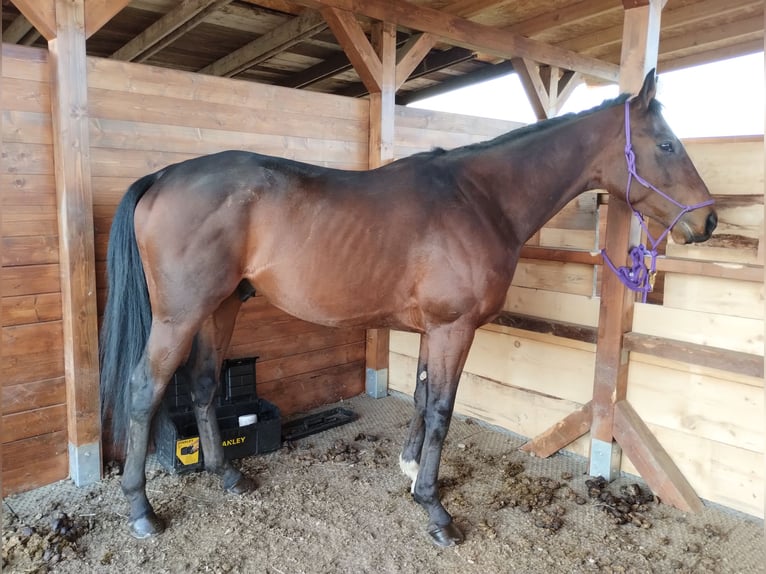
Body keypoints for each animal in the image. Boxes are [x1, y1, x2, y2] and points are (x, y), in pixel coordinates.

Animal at [99, 70, 716, 548]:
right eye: (666, 144)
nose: (708, 220)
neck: (480, 199)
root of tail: (163, 177)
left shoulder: (431, 330)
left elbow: (421, 397)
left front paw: (410, 468)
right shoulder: (453, 329)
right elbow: (442, 409)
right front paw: (435, 508)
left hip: (220, 308)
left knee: (204, 385)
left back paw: (227, 475)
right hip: (179, 317)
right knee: (144, 389)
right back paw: (142, 511)